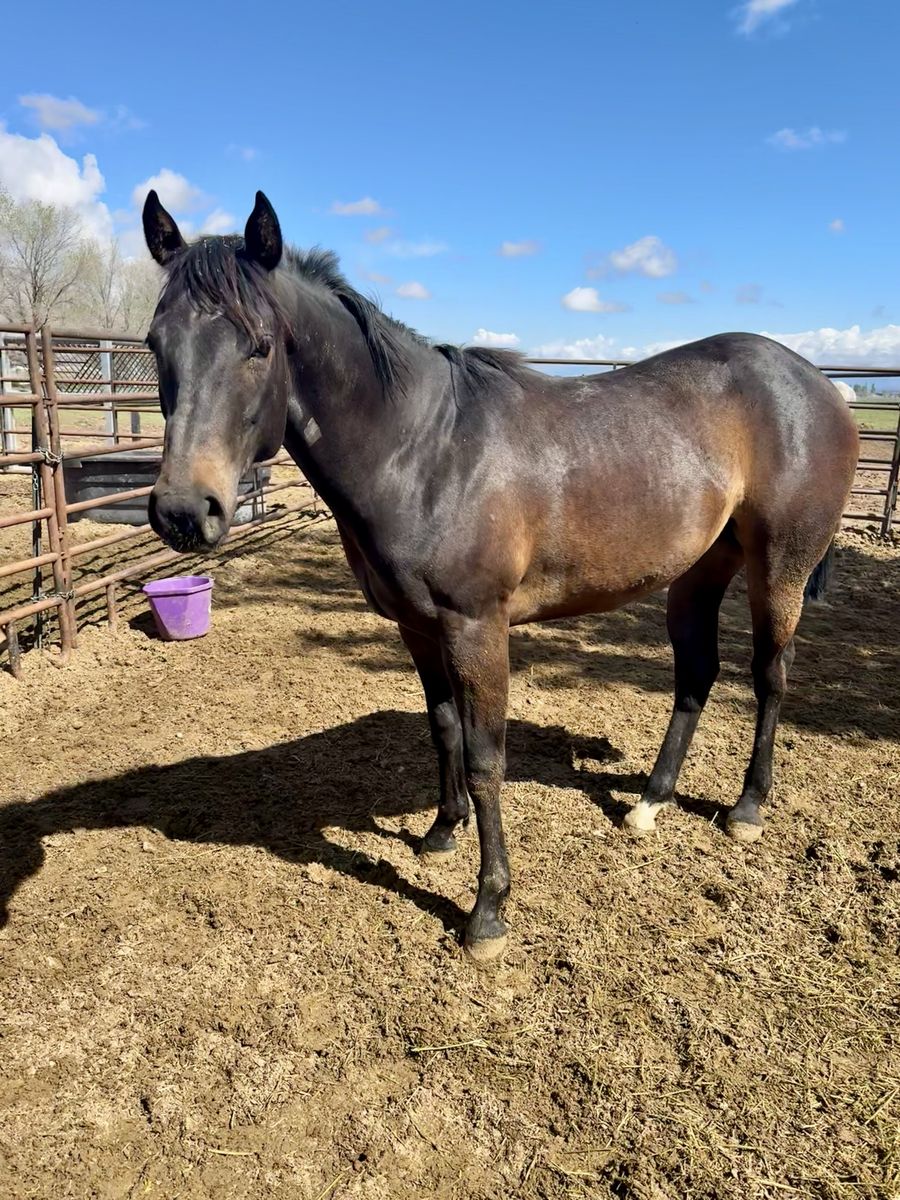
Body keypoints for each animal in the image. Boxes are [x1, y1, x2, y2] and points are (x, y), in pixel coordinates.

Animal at [141, 189, 859, 961]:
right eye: (156, 344)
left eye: (261, 346)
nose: (184, 510)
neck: (422, 450)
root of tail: (819, 383)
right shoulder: (419, 627)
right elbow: (444, 728)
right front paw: (440, 833)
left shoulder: (477, 627)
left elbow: (487, 758)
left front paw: (487, 911)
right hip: (697, 570)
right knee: (696, 673)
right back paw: (650, 804)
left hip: (779, 565)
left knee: (770, 676)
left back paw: (747, 808)